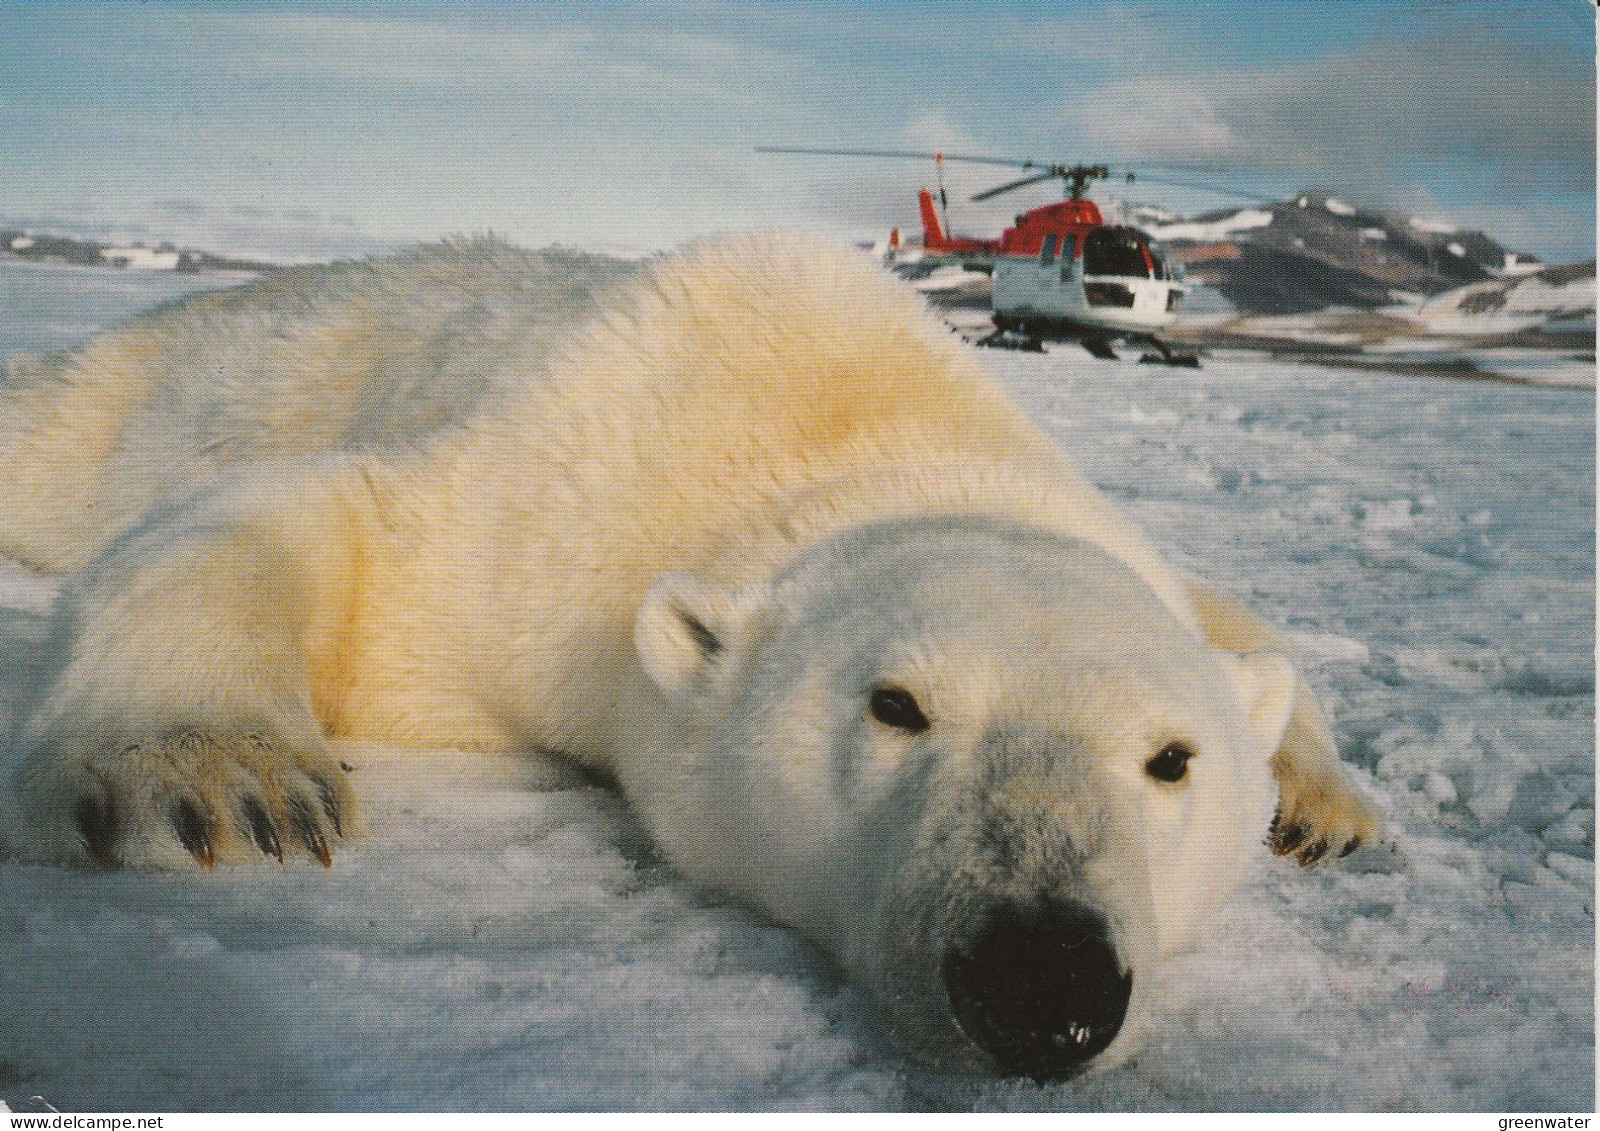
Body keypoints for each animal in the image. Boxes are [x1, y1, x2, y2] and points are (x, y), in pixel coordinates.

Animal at [0, 236, 1376, 1081]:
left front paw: (1324, 808)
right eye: (896, 705)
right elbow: (326, 526)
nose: (1043, 980)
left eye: (1171, 760)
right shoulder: (552, 519)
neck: (860, 422)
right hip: (187, 370)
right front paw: (220, 780)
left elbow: (1236, 619)